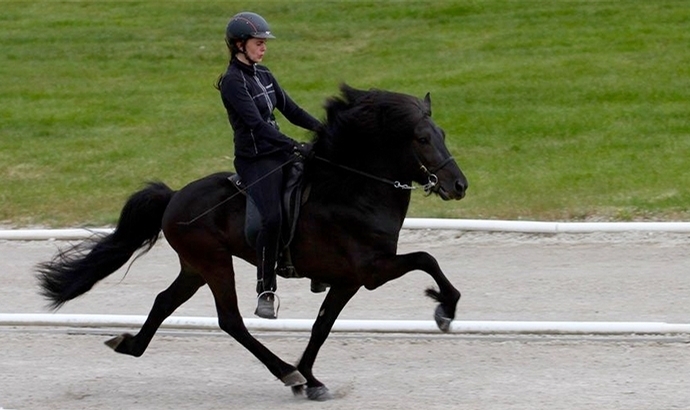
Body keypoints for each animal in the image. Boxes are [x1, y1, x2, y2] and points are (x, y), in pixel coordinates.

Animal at [36, 83, 468, 400]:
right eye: (422, 139)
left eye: (444, 134)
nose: (459, 186)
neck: (352, 190)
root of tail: (174, 197)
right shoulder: (372, 270)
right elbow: (426, 258)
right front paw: (444, 309)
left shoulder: (348, 280)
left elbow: (322, 326)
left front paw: (312, 379)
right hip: (214, 263)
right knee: (231, 320)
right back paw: (286, 373)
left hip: (195, 267)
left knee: (164, 301)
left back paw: (129, 344)